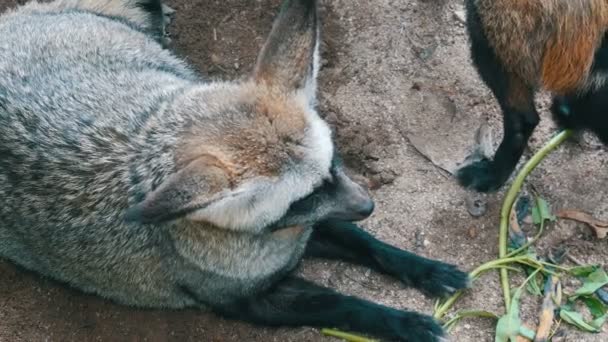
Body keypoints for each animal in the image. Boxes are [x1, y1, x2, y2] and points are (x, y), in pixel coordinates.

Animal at [0, 0, 470, 340]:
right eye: (303, 198)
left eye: (334, 162)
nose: (369, 206)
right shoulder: (248, 301)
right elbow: (339, 304)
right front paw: (404, 322)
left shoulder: (311, 227)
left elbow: (366, 244)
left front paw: (426, 269)